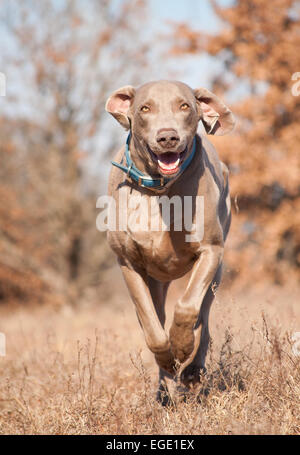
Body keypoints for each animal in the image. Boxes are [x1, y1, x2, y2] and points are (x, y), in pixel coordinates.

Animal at [105, 80, 234, 404]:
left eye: (185, 106)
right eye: (144, 108)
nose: (167, 137)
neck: (159, 190)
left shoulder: (211, 251)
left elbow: (188, 308)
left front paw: (182, 345)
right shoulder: (128, 263)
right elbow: (151, 325)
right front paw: (167, 356)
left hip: (217, 272)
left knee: (204, 318)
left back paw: (192, 368)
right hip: (156, 281)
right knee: (158, 316)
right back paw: (165, 390)